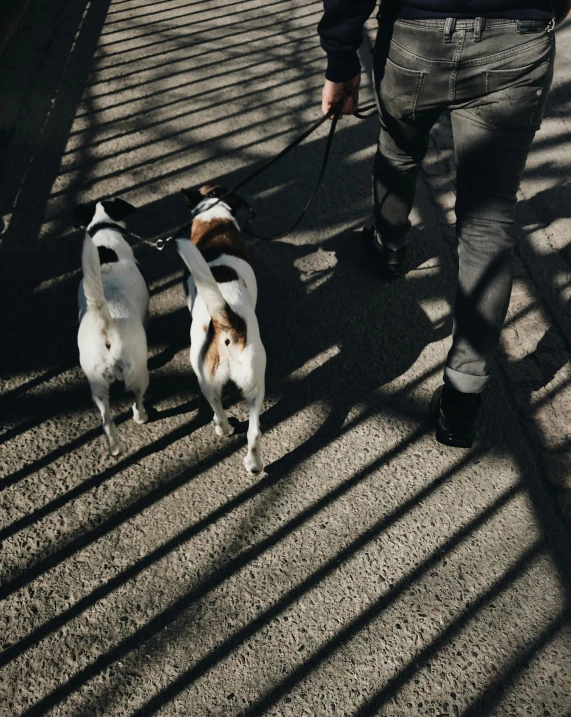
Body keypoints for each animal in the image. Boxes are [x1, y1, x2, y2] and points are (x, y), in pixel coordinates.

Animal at [73, 197, 150, 454]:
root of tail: (106, 320)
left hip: (96, 383)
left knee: (107, 420)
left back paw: (114, 447)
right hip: (138, 373)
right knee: (138, 399)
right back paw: (141, 416)